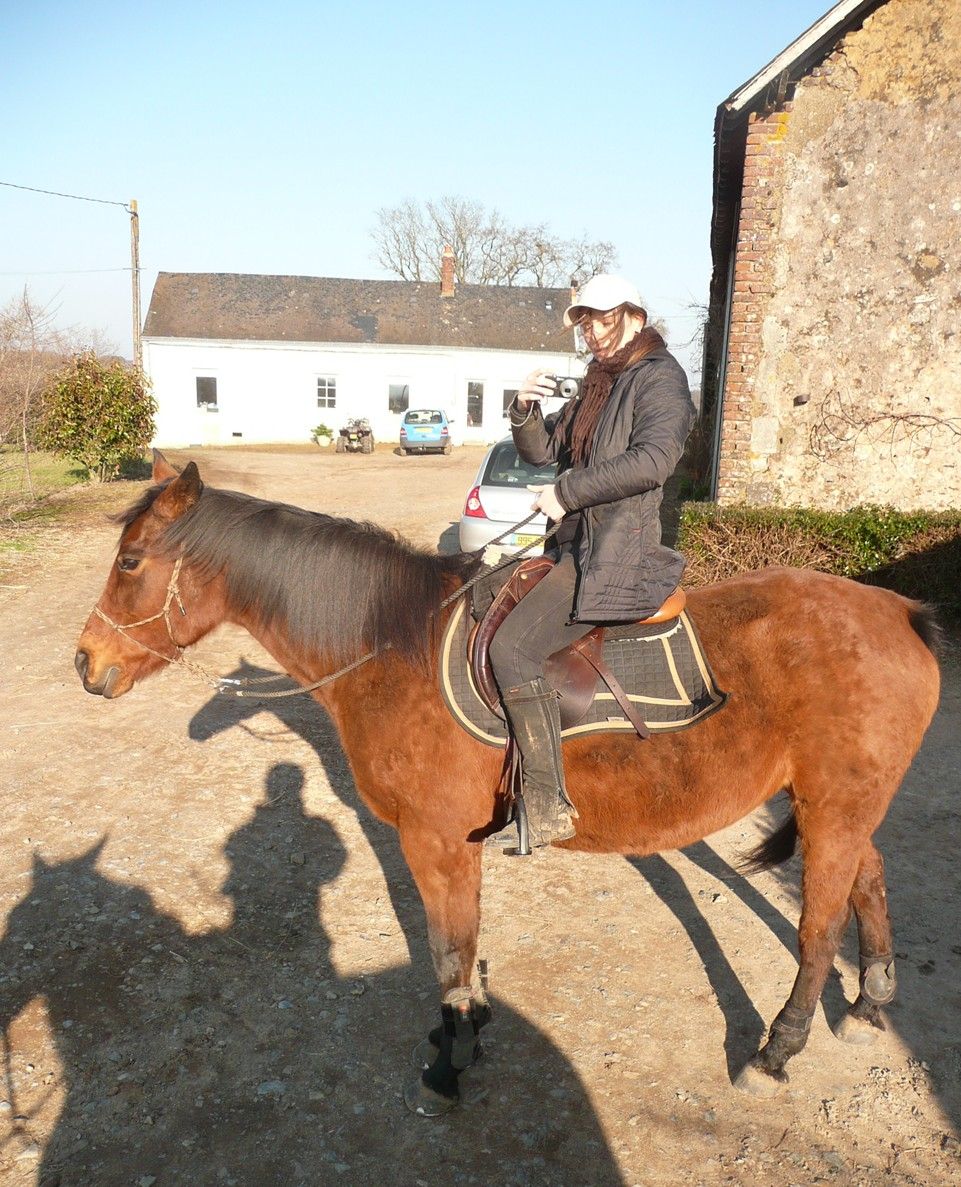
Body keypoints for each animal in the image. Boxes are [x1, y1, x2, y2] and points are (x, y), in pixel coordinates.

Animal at [74, 453, 941, 1115]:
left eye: (130, 561)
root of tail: (897, 611)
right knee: (869, 879)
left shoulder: (434, 840)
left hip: (832, 805)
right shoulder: (451, 842)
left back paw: (777, 1048)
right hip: (838, 802)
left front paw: (451, 1057)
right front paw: (465, 1033)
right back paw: (869, 1000)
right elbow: (462, 948)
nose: (86, 663)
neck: (395, 643)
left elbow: (449, 953)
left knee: (818, 927)